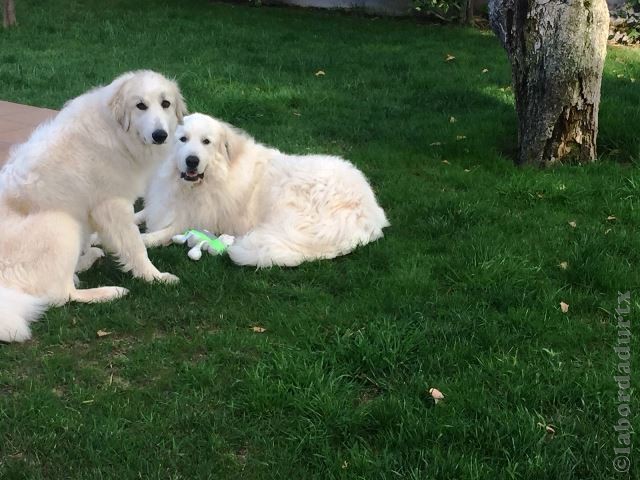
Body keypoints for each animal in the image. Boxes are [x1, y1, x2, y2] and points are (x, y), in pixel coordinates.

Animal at [0, 69, 185, 344]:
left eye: (166, 104)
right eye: (140, 106)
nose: (160, 135)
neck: (117, 132)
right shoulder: (113, 206)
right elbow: (135, 246)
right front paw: (154, 277)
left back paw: (89, 258)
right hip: (62, 225)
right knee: (61, 294)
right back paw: (111, 291)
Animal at [137, 114, 388, 268]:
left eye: (206, 142)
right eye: (183, 139)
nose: (192, 161)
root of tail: (371, 216)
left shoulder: (193, 219)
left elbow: (158, 235)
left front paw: (141, 241)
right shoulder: (162, 204)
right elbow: (140, 214)